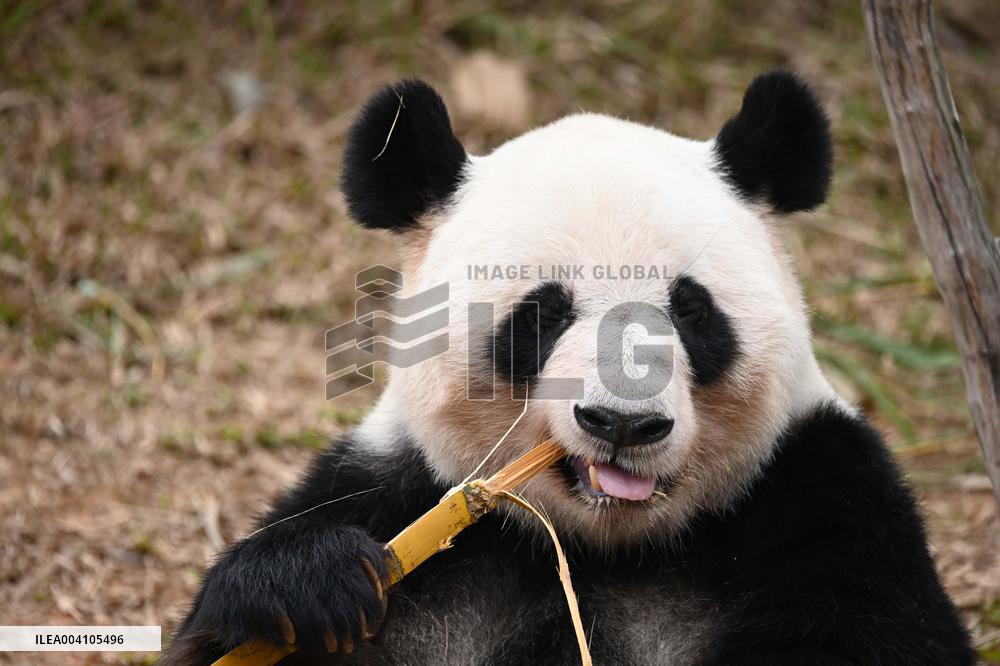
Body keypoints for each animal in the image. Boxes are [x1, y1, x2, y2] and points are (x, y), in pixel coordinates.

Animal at [164, 70, 976, 664]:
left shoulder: (824, 493)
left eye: (690, 310)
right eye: (544, 314)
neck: (601, 546)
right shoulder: (399, 495)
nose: (622, 423)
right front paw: (310, 584)